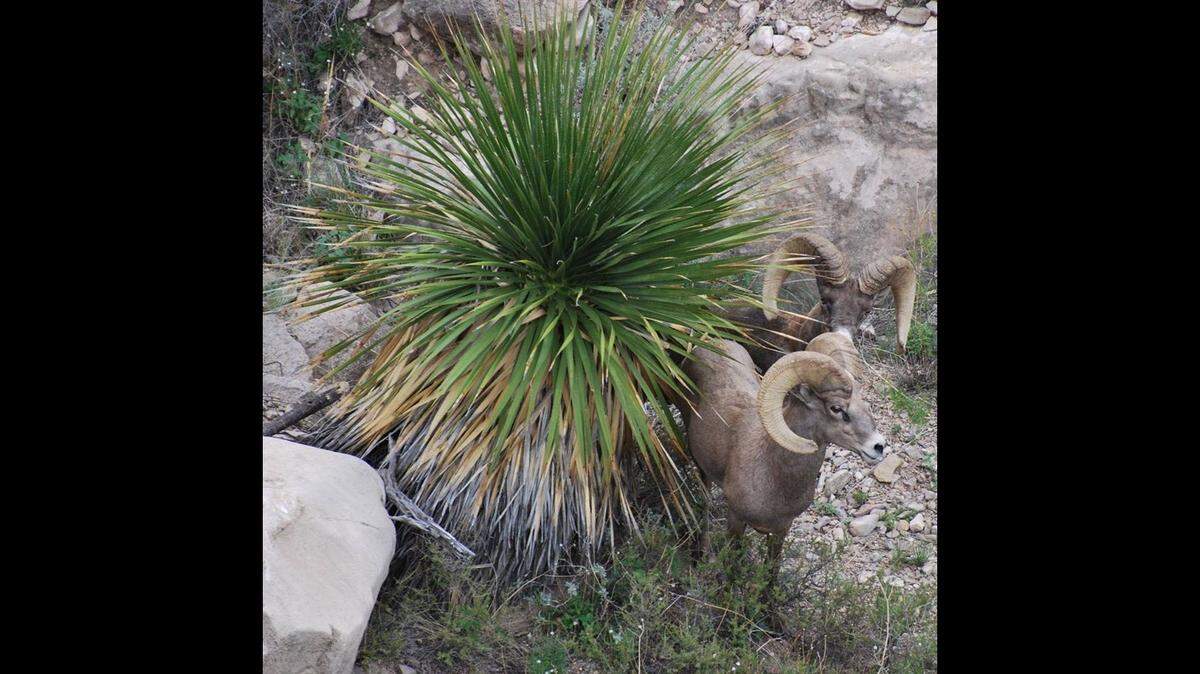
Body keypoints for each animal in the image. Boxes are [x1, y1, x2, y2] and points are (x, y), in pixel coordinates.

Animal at [679, 330, 887, 581]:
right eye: (836, 408)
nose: (879, 446)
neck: (773, 476)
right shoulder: (736, 519)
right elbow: (732, 567)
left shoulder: (781, 530)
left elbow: (772, 574)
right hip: (701, 468)